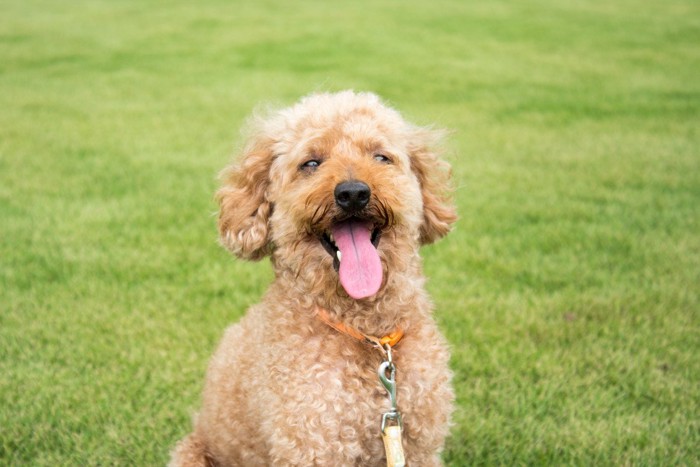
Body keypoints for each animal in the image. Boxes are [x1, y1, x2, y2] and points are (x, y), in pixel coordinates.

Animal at [171, 91, 460, 467]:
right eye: (310, 163)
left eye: (381, 157)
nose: (353, 193)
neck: (366, 332)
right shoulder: (311, 445)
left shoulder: (418, 445)